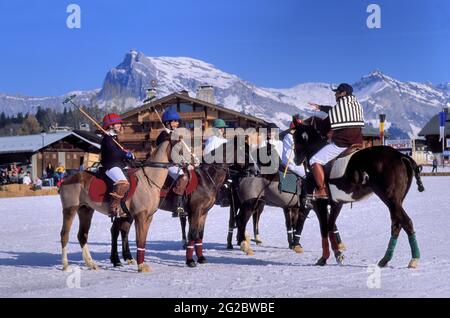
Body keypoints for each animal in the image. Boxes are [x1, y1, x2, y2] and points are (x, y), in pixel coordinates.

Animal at [59, 140, 172, 272]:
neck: (147, 181)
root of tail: (65, 181)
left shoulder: (142, 216)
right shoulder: (140, 215)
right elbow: (139, 239)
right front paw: (140, 265)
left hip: (86, 210)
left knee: (83, 235)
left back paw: (91, 264)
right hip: (70, 209)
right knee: (64, 235)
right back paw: (66, 265)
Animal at [294, 117, 424, 268]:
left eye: (295, 137)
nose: (296, 160)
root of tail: (401, 156)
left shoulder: (320, 204)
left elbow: (325, 229)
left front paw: (324, 258)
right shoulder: (336, 204)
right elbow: (331, 227)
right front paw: (338, 254)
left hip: (390, 198)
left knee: (406, 222)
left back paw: (414, 259)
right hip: (396, 201)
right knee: (396, 225)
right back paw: (385, 259)